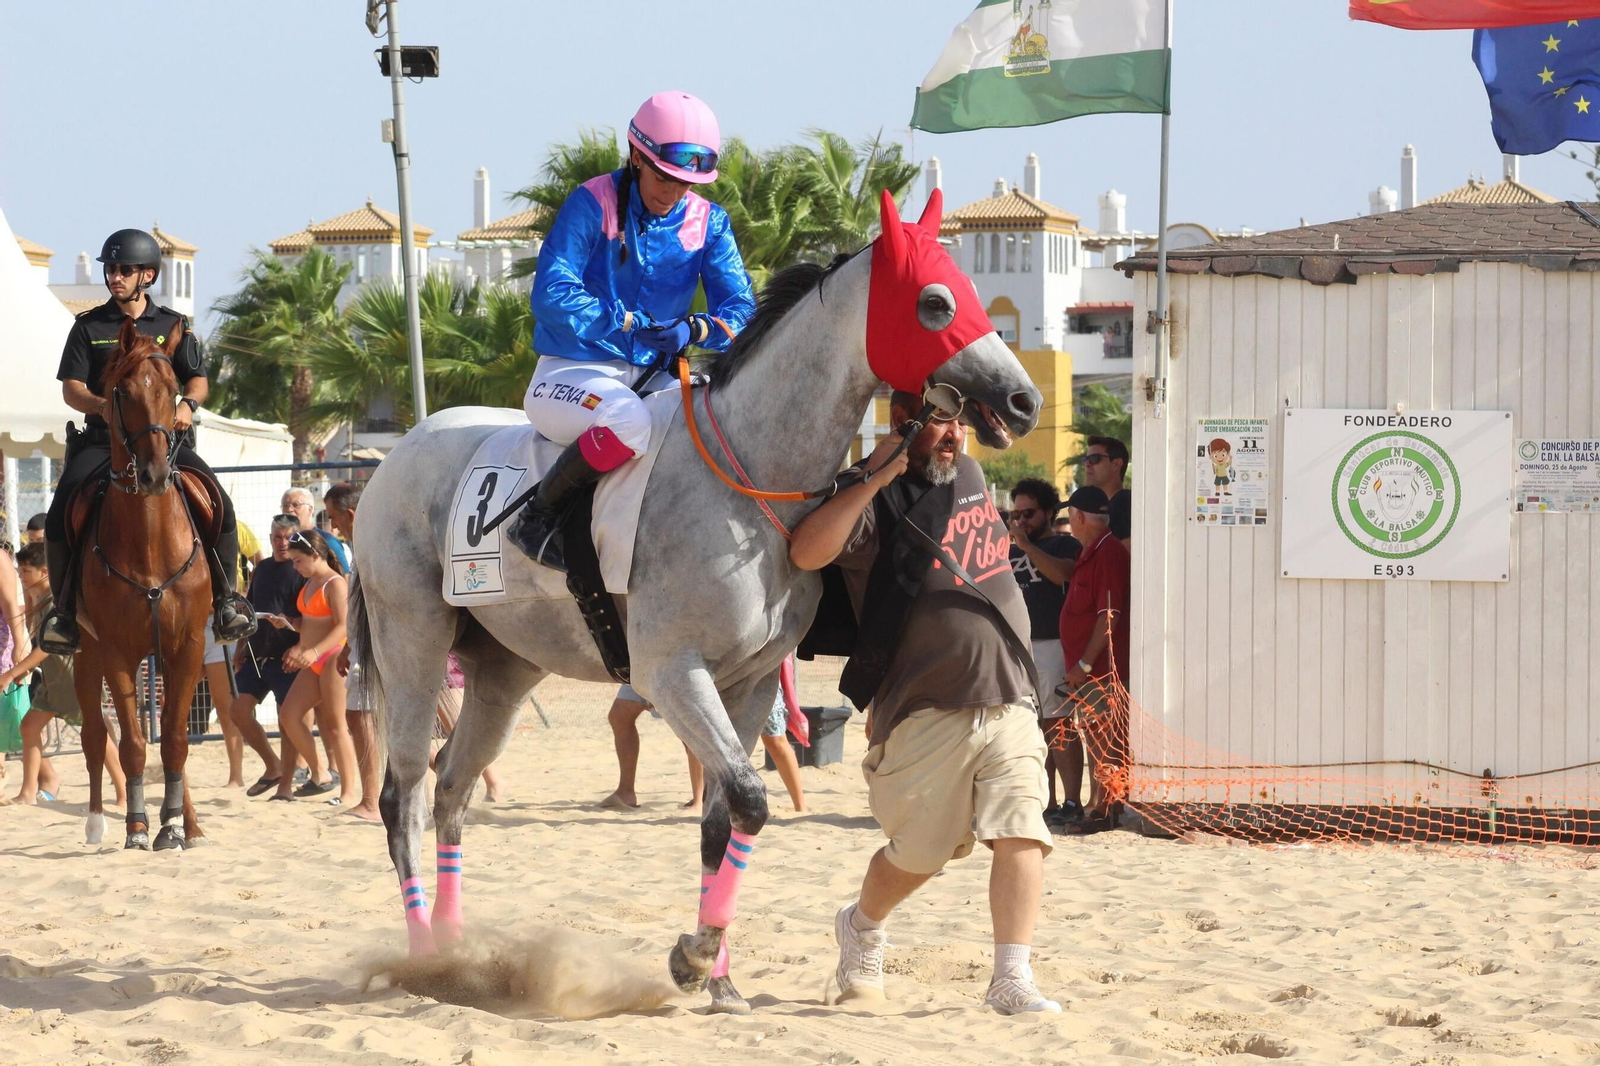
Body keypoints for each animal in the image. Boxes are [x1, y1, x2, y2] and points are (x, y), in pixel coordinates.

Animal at [73, 319, 213, 851]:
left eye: (174, 390)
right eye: (124, 391)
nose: (153, 474)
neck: (151, 541)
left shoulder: (187, 647)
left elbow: (174, 739)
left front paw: (172, 826)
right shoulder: (115, 651)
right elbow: (132, 743)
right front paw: (136, 826)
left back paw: (188, 823)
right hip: (85, 652)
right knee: (95, 735)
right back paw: (96, 823)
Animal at [349, 190, 1042, 1013]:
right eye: (936, 302)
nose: (1024, 400)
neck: (750, 476)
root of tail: (394, 458)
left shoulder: (748, 683)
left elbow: (724, 819)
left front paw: (720, 978)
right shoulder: (673, 673)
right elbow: (749, 799)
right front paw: (694, 956)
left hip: (504, 670)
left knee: (454, 787)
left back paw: (460, 957)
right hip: (414, 643)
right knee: (406, 793)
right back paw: (423, 957)